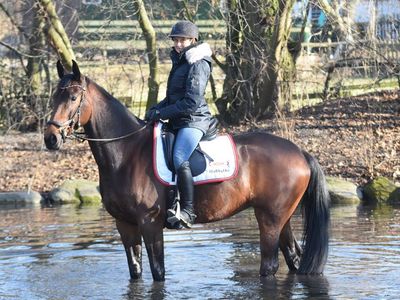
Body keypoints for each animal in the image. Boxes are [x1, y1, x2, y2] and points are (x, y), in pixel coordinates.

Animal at [44, 61, 332, 282]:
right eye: (54, 97)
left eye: (73, 98)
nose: (50, 139)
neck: (126, 153)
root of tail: (300, 153)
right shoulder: (124, 224)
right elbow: (136, 271)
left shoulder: (150, 223)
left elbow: (158, 273)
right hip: (282, 217)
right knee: (293, 257)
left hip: (270, 218)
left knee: (270, 265)